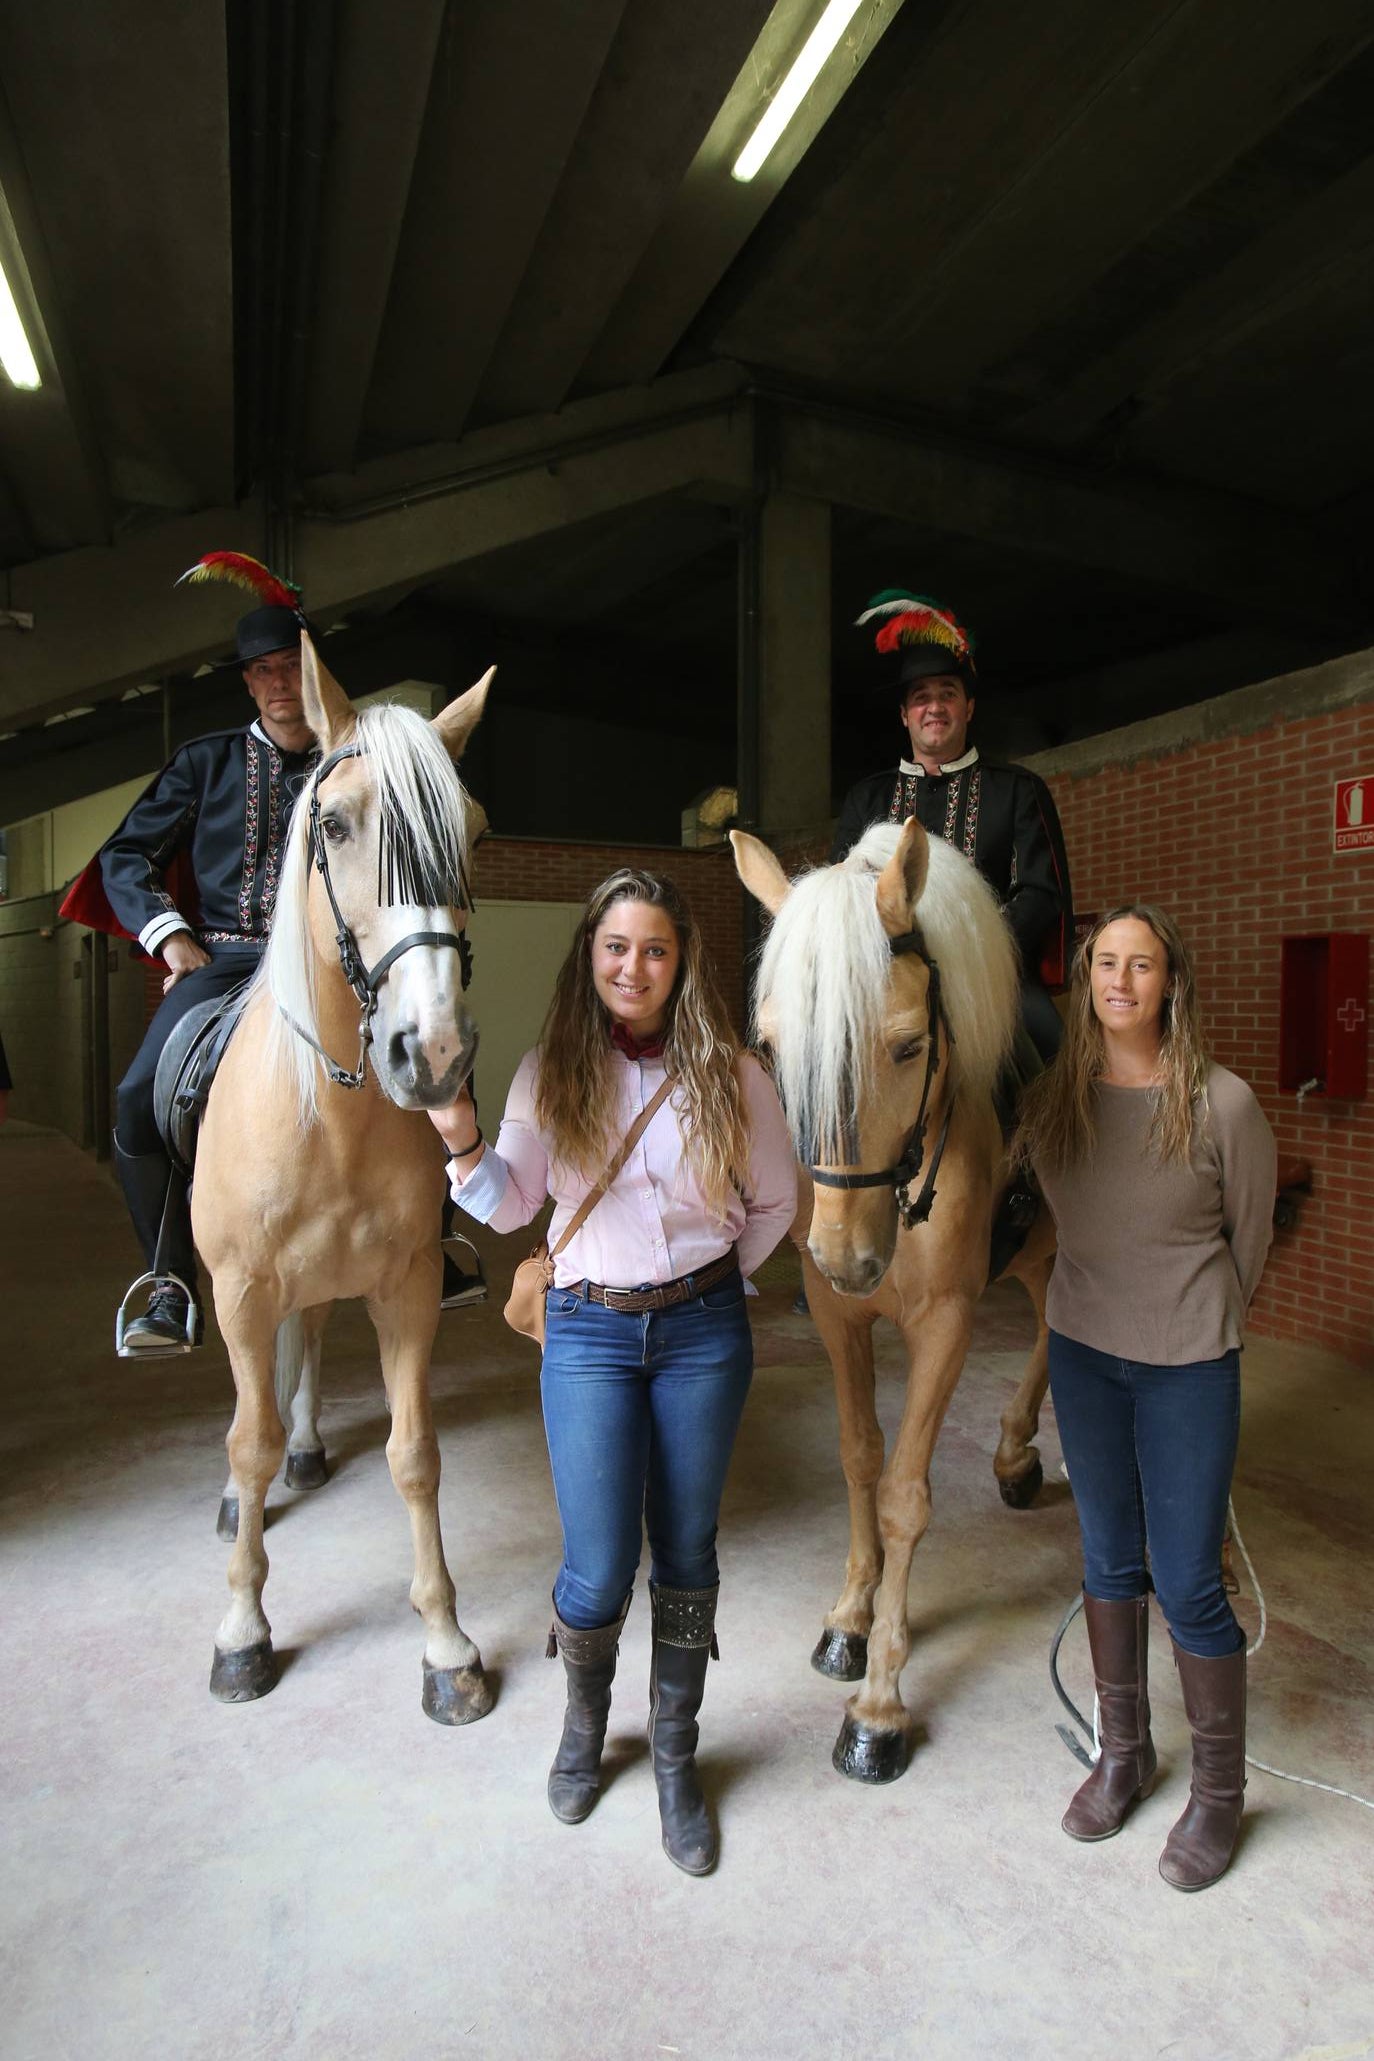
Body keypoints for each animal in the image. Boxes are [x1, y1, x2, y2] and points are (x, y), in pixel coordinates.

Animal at [190, 634, 496, 1731]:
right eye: (333, 823)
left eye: (473, 834)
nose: (433, 1054)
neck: (328, 1115)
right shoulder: (240, 1291)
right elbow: (244, 1437)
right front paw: (241, 1632)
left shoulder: (406, 1288)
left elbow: (416, 1453)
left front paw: (446, 1645)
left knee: (311, 1340)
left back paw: (311, 1444)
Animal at [737, 812, 1062, 1780]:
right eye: (775, 1046)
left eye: (909, 1045)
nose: (848, 1255)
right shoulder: (840, 1317)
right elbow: (858, 1456)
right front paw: (850, 1616)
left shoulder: (946, 1324)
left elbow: (905, 1494)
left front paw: (879, 1702)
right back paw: (1015, 1449)